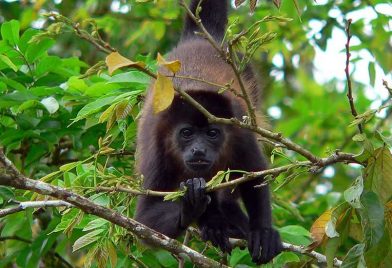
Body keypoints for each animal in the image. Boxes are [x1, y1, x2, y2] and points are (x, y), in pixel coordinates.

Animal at [135, 0, 282, 264]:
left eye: (212, 134)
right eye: (187, 133)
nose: (198, 150)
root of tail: (199, 37)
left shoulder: (239, 129)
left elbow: (254, 173)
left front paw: (262, 231)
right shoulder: (157, 148)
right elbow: (145, 219)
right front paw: (190, 205)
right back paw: (213, 222)